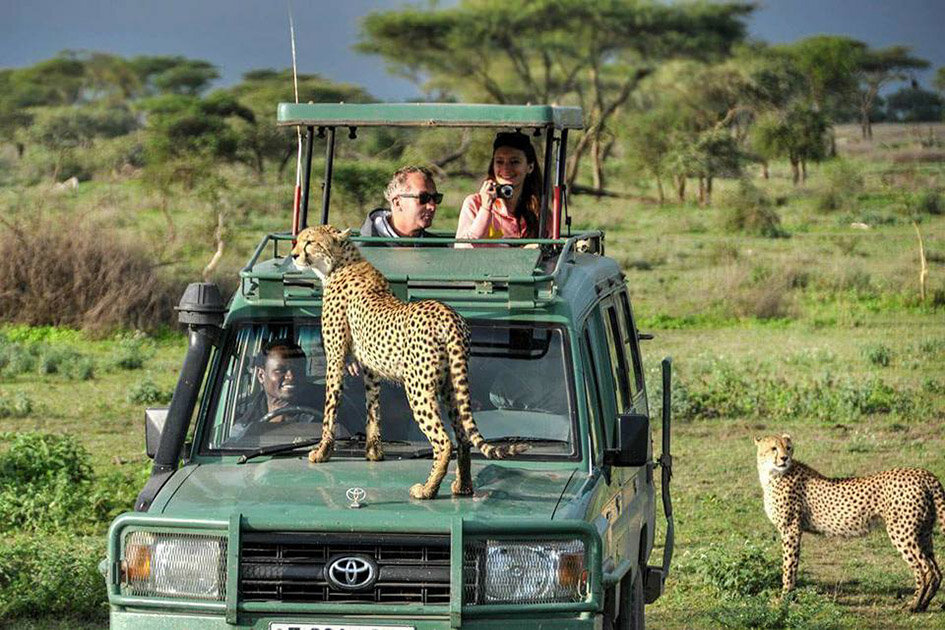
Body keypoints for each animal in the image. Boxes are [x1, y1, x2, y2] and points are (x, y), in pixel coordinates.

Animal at [290, 225, 524, 502]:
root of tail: (449, 315)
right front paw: (374, 452)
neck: (340, 263)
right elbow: (373, 407)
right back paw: (463, 486)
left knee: (443, 441)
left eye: (309, 242)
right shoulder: (371, 367)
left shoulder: (335, 356)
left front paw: (321, 452)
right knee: (463, 436)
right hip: (451, 385)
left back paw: (427, 489)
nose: (293, 255)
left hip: (418, 388)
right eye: (298, 240)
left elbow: (330, 405)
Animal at [756, 434, 940, 612]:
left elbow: (789, 565)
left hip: (901, 532)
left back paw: (913, 605)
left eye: (788, 447)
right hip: (923, 532)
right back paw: (924, 604)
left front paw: (785, 598)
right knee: (937, 570)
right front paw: (789, 597)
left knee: (925, 569)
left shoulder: (791, 529)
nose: (785, 458)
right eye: (773, 448)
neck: (772, 474)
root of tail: (922, 473)